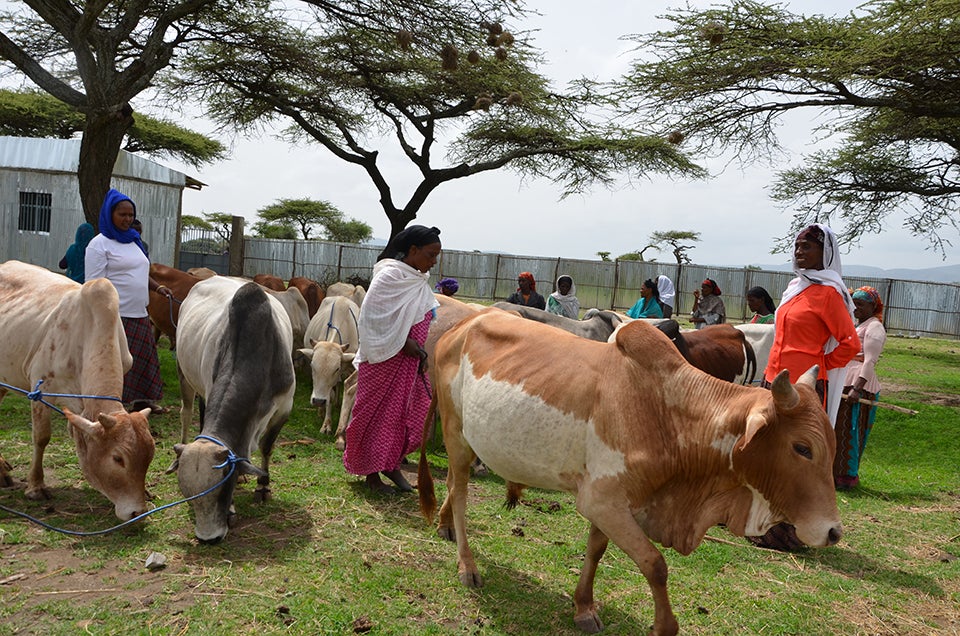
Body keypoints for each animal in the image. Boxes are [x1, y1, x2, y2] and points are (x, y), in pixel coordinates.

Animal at [0, 260, 156, 520]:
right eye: (118, 458)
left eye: (150, 455)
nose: (138, 512)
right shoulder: (39, 388)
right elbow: (41, 438)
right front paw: (36, 486)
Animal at [171, 276, 294, 544]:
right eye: (187, 495)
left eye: (222, 488)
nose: (208, 539)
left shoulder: (284, 407)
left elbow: (266, 447)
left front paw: (262, 485)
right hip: (185, 375)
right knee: (186, 413)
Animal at [420, 314, 840, 636]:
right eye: (802, 448)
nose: (834, 531)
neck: (670, 413)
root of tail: (461, 326)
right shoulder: (602, 501)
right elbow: (655, 564)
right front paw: (664, 626)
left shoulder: (616, 501)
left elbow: (596, 550)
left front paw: (584, 608)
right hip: (456, 434)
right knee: (459, 492)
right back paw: (467, 565)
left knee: (452, 486)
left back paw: (444, 525)